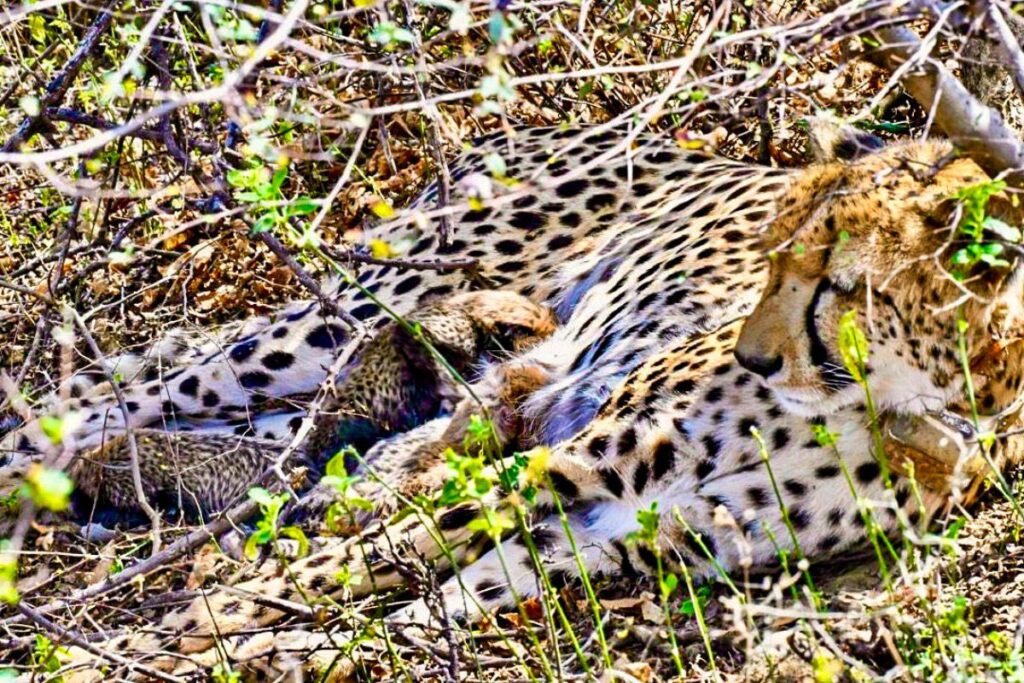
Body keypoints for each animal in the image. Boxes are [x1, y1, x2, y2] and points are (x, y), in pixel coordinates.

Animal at [8, 123, 1024, 679]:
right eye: (772, 257)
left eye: (836, 282)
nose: (754, 354)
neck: (902, 402)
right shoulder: (573, 460)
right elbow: (335, 569)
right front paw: (167, 641)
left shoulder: (638, 530)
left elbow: (418, 599)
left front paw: (285, 653)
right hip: (357, 312)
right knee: (127, 390)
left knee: (265, 442)